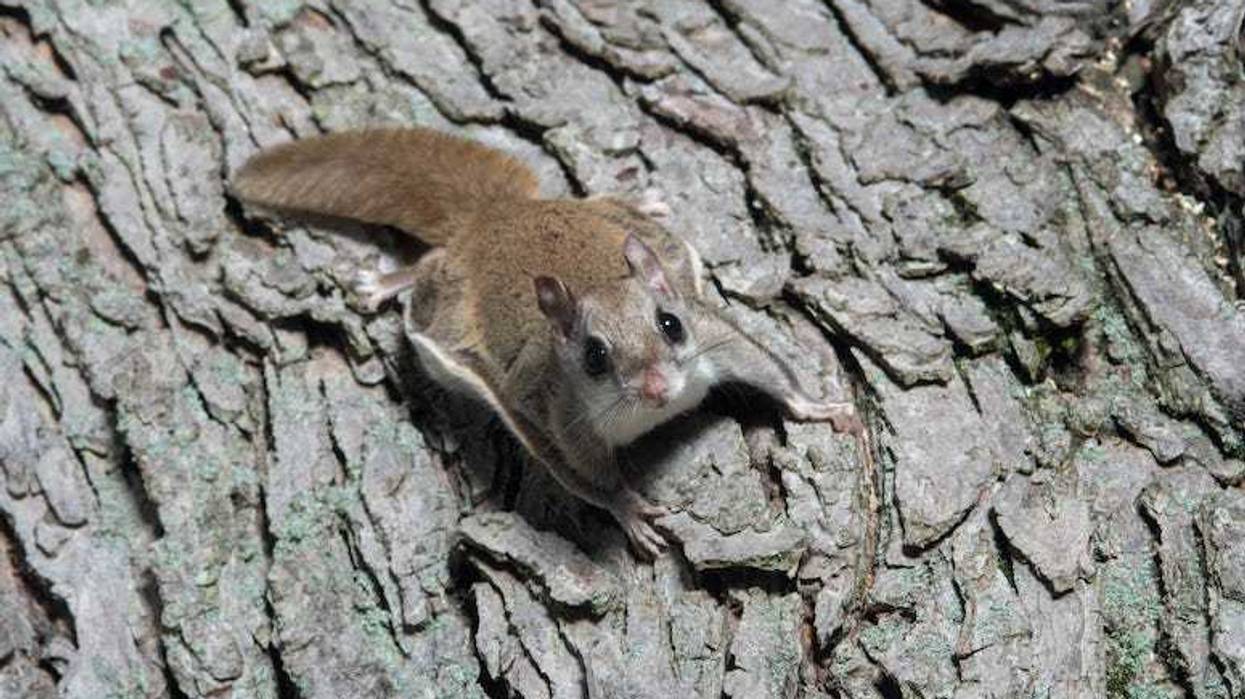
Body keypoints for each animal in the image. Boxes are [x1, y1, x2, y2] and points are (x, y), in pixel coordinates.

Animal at [231, 128, 863, 558]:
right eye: (594, 357)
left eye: (670, 325)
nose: (658, 388)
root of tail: (495, 217)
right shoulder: (555, 415)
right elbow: (583, 475)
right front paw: (630, 510)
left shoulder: (715, 336)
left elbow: (769, 367)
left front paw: (818, 406)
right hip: (446, 301)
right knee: (428, 271)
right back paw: (388, 283)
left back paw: (639, 200)